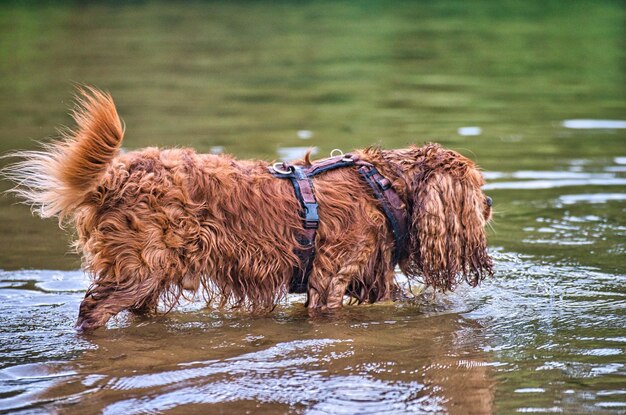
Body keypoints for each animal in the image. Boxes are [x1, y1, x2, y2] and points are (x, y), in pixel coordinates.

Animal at [4, 88, 492, 332]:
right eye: (477, 187)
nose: (490, 203)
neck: (383, 187)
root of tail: (115, 174)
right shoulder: (329, 282)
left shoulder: (371, 279)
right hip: (140, 267)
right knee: (93, 309)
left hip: (148, 274)